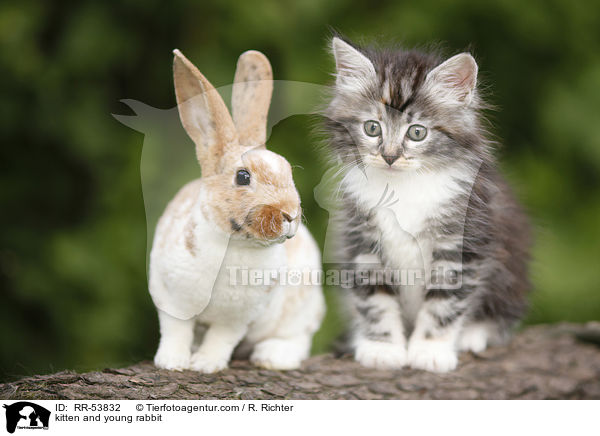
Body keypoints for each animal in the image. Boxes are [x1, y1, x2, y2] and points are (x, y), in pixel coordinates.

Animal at [150, 49, 326, 372]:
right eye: (243, 177)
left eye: (287, 171)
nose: (290, 214)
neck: (233, 244)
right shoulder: (170, 300)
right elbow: (175, 331)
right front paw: (172, 362)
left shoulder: (237, 319)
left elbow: (221, 339)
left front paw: (205, 364)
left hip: (302, 307)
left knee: (298, 337)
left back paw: (273, 357)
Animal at [324, 36, 528, 372]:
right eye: (372, 128)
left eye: (417, 132)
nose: (390, 156)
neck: (402, 188)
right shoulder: (362, 239)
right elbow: (374, 298)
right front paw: (382, 347)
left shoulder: (462, 240)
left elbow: (444, 302)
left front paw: (431, 349)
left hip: (511, 268)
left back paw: (474, 332)